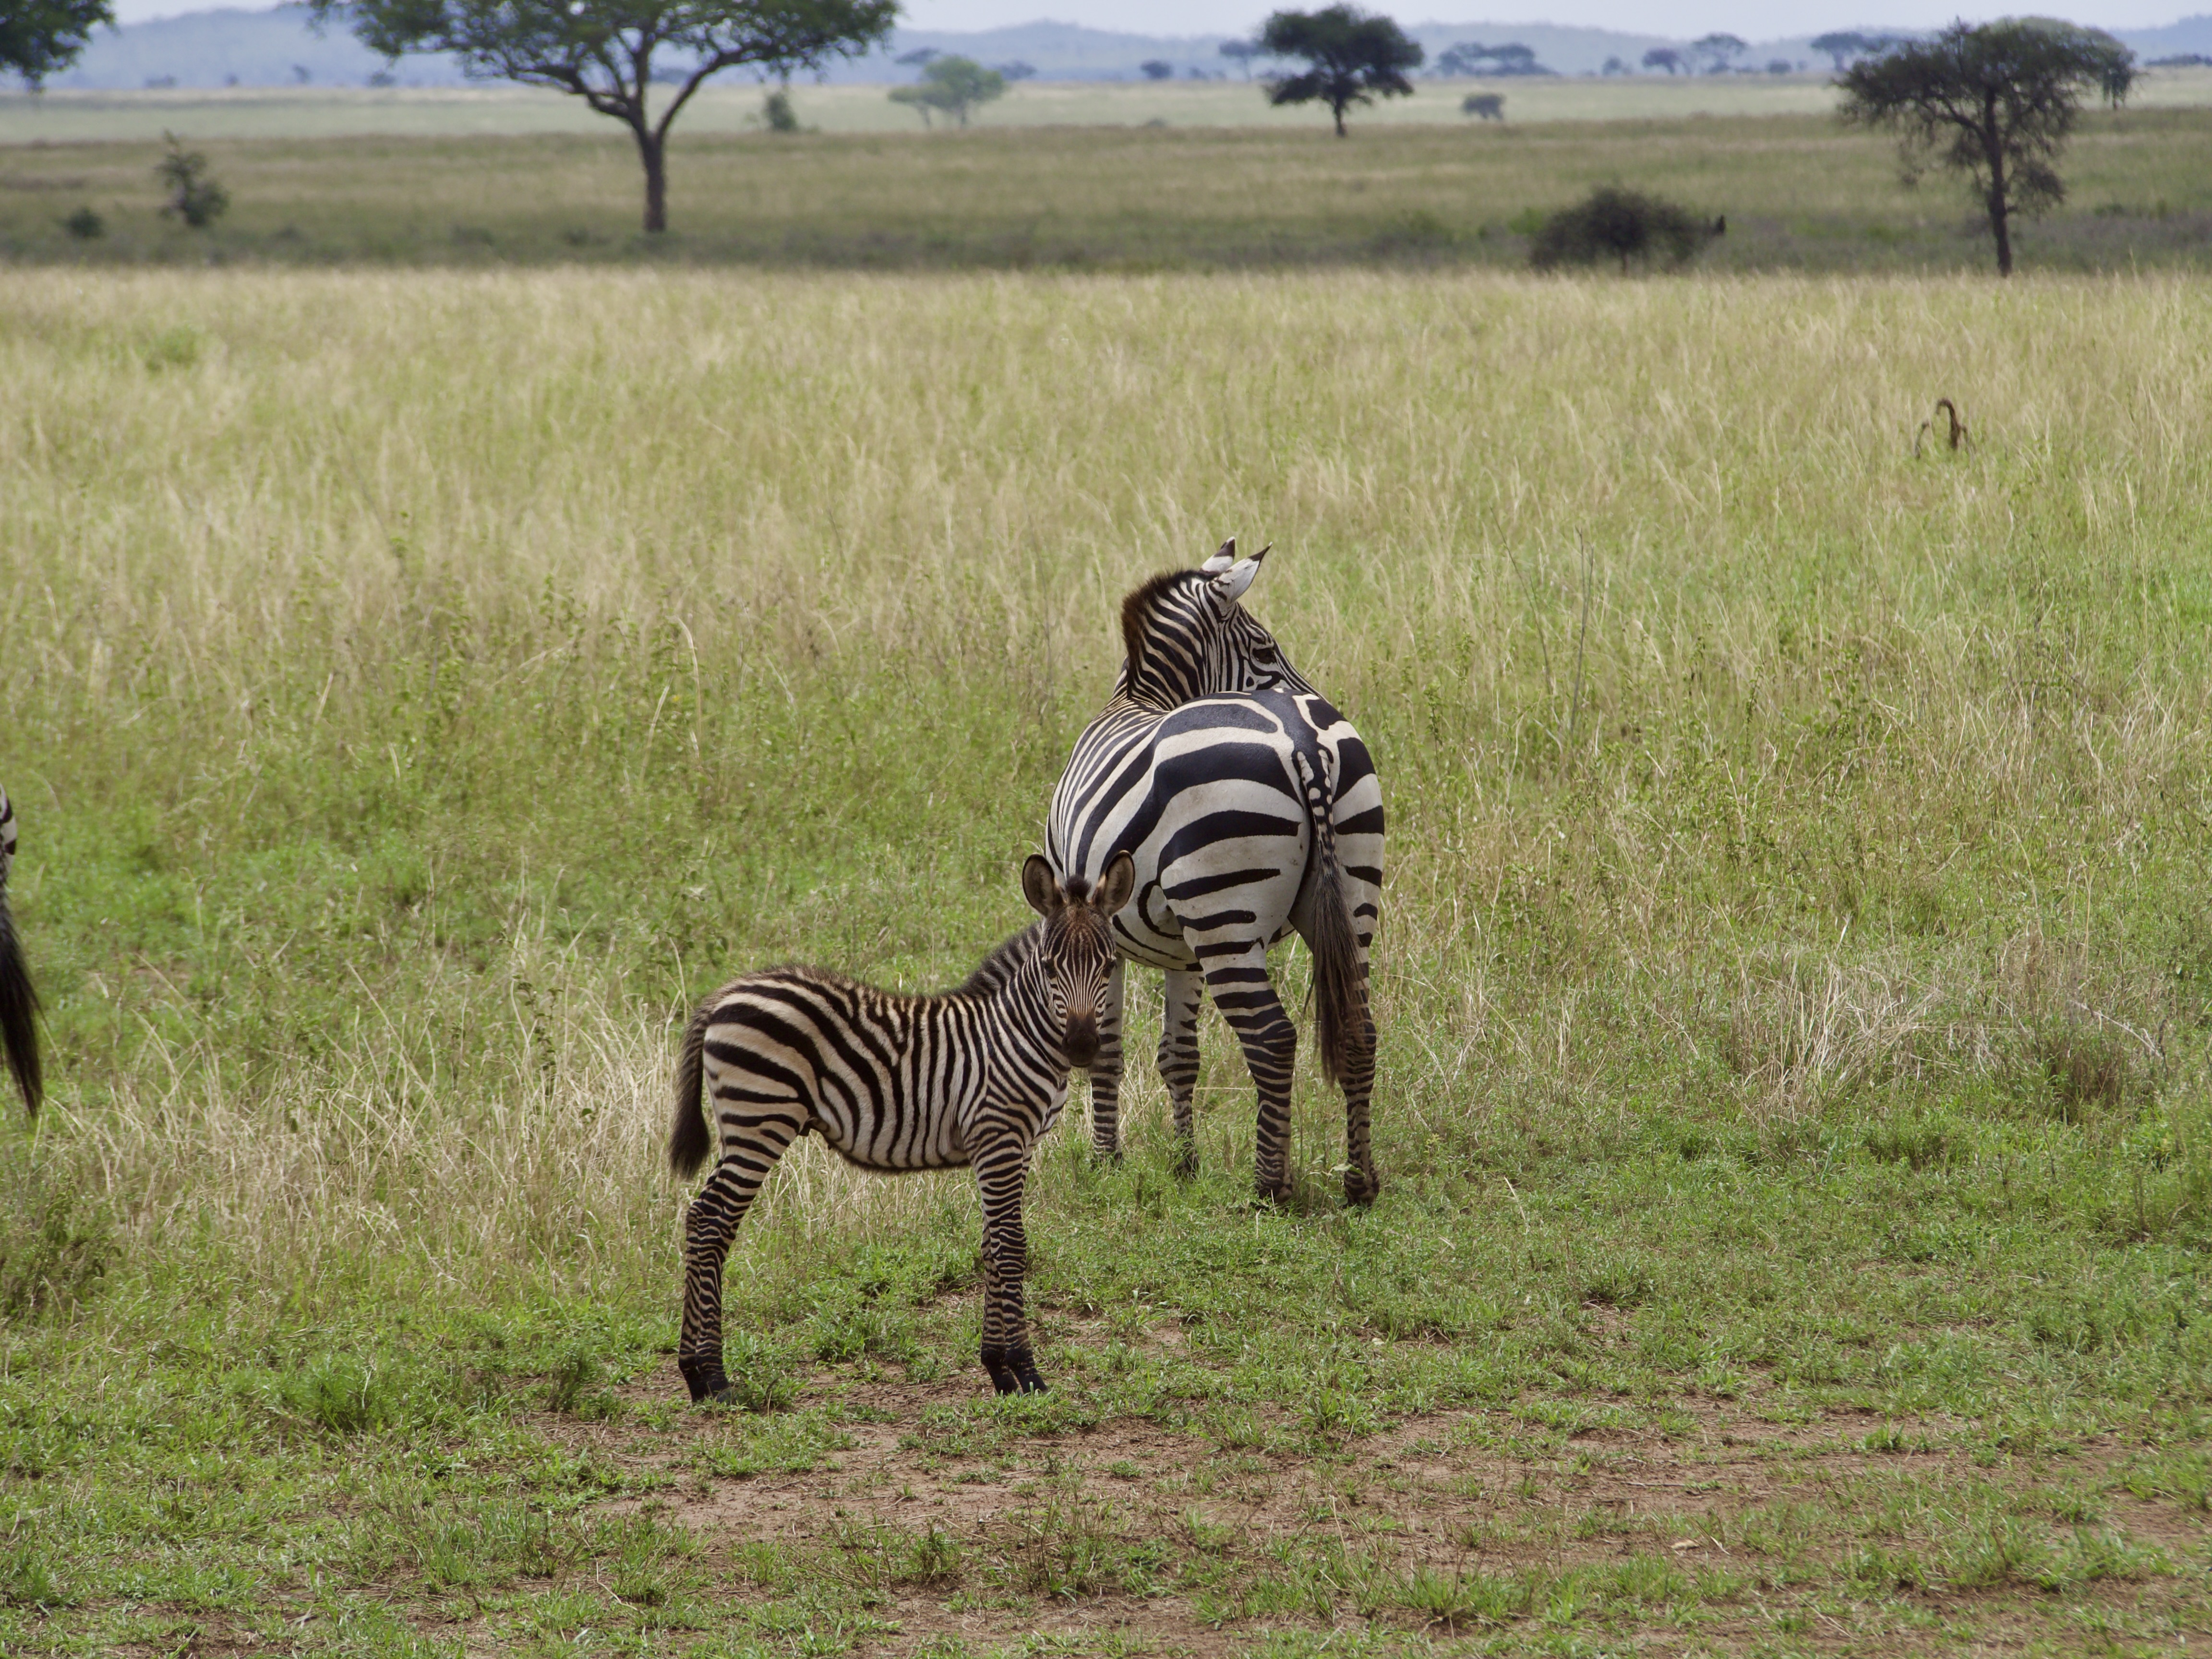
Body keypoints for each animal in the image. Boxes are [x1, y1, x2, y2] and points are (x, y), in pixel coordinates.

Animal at [663, 849, 1132, 1407]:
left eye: (1108, 966)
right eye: (1050, 966)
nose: (1082, 1047)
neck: (1016, 1034)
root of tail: (724, 994)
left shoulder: (1015, 1149)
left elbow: (992, 1246)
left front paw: (998, 1369)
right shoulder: (999, 1136)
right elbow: (1013, 1246)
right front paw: (1027, 1371)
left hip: (748, 1123)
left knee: (701, 1219)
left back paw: (694, 1373)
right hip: (761, 1120)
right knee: (712, 1221)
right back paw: (712, 1377)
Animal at [1048, 546, 1380, 1212]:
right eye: (1265, 651)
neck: (1140, 700)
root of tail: (1304, 741)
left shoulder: (1099, 930)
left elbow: (1107, 1049)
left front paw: (1106, 1160)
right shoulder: (1184, 951)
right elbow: (1179, 1056)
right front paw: (1184, 1163)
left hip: (1225, 915)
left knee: (1273, 1040)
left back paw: (1269, 1186)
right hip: (1349, 896)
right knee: (1361, 1030)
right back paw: (1359, 1182)